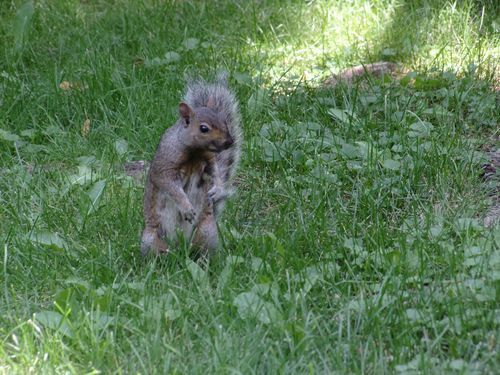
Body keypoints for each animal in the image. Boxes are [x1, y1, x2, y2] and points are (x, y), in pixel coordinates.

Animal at [141, 75, 242, 258]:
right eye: (203, 128)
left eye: (224, 121)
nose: (229, 142)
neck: (195, 153)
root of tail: (181, 247)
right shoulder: (165, 166)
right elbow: (171, 187)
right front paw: (186, 207)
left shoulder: (209, 161)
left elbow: (216, 173)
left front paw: (217, 189)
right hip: (150, 239)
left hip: (206, 232)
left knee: (203, 252)